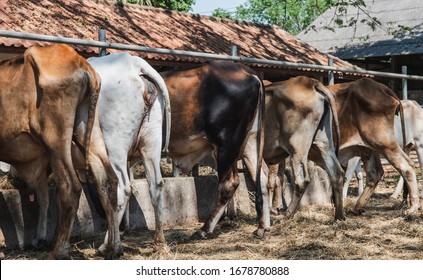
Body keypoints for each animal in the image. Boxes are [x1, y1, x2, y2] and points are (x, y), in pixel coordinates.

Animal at [0, 44, 119, 260]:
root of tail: (81, 65)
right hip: (89, 132)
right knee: (108, 181)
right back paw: (111, 248)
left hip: (55, 139)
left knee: (70, 188)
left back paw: (58, 251)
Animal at [161, 60, 266, 238]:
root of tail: (249, 72)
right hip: (251, 141)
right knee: (263, 178)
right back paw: (262, 227)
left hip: (227, 144)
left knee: (229, 184)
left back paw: (205, 229)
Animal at [326, 79, 422, 214]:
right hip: (373, 148)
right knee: (376, 173)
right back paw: (359, 206)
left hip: (389, 143)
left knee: (407, 166)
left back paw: (413, 207)